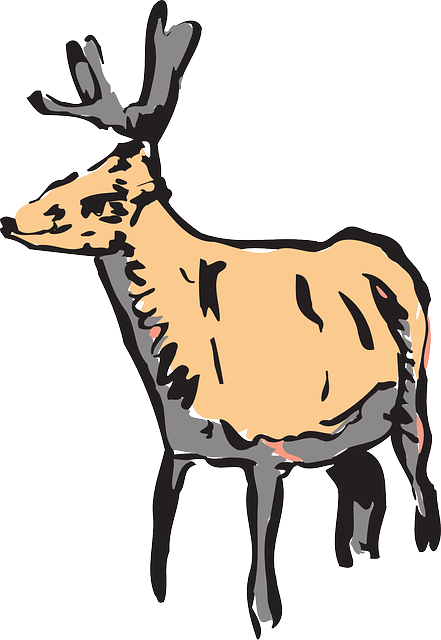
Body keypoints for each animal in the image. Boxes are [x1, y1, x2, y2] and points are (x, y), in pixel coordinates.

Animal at [1, 2, 440, 637]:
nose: (10, 220)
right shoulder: (177, 447)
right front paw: (160, 602)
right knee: (364, 480)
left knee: (415, 470)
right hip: (342, 430)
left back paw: (419, 549)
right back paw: (357, 563)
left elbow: (259, 571)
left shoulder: (268, 449)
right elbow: (159, 539)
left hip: (412, 390)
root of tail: (391, 252)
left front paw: (268, 618)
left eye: (106, 198)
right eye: (66, 175)